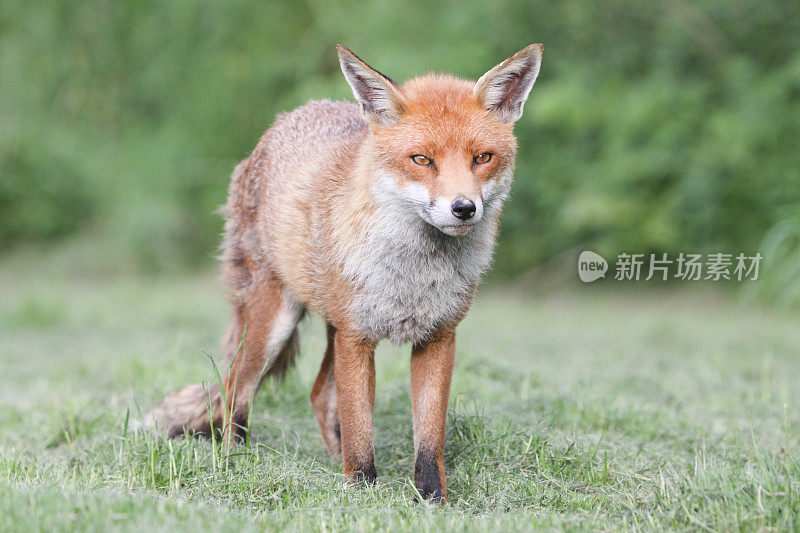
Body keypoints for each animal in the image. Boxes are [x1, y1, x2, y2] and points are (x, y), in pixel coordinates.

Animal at [141, 43, 544, 500]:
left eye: (482, 158)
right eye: (422, 159)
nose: (464, 208)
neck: (414, 275)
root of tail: (289, 117)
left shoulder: (438, 338)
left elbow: (428, 439)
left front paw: (432, 500)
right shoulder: (357, 338)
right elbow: (360, 430)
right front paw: (362, 494)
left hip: (330, 325)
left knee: (318, 394)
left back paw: (331, 462)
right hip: (275, 324)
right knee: (233, 392)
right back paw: (235, 464)